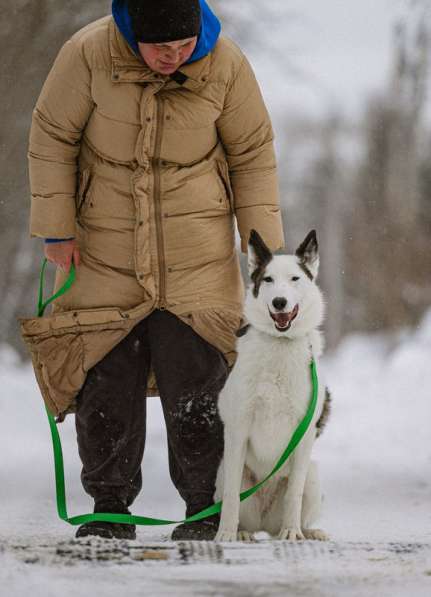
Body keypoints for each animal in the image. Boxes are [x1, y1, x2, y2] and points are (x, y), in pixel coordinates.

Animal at [215, 230, 330, 544]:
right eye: (267, 279)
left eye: (294, 279)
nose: (279, 302)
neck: (280, 344)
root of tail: (265, 524)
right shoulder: (238, 431)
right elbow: (231, 497)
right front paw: (225, 534)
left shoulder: (304, 436)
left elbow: (294, 495)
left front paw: (293, 532)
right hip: (227, 471)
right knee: (234, 502)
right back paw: (241, 532)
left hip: (313, 474)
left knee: (298, 504)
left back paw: (305, 531)